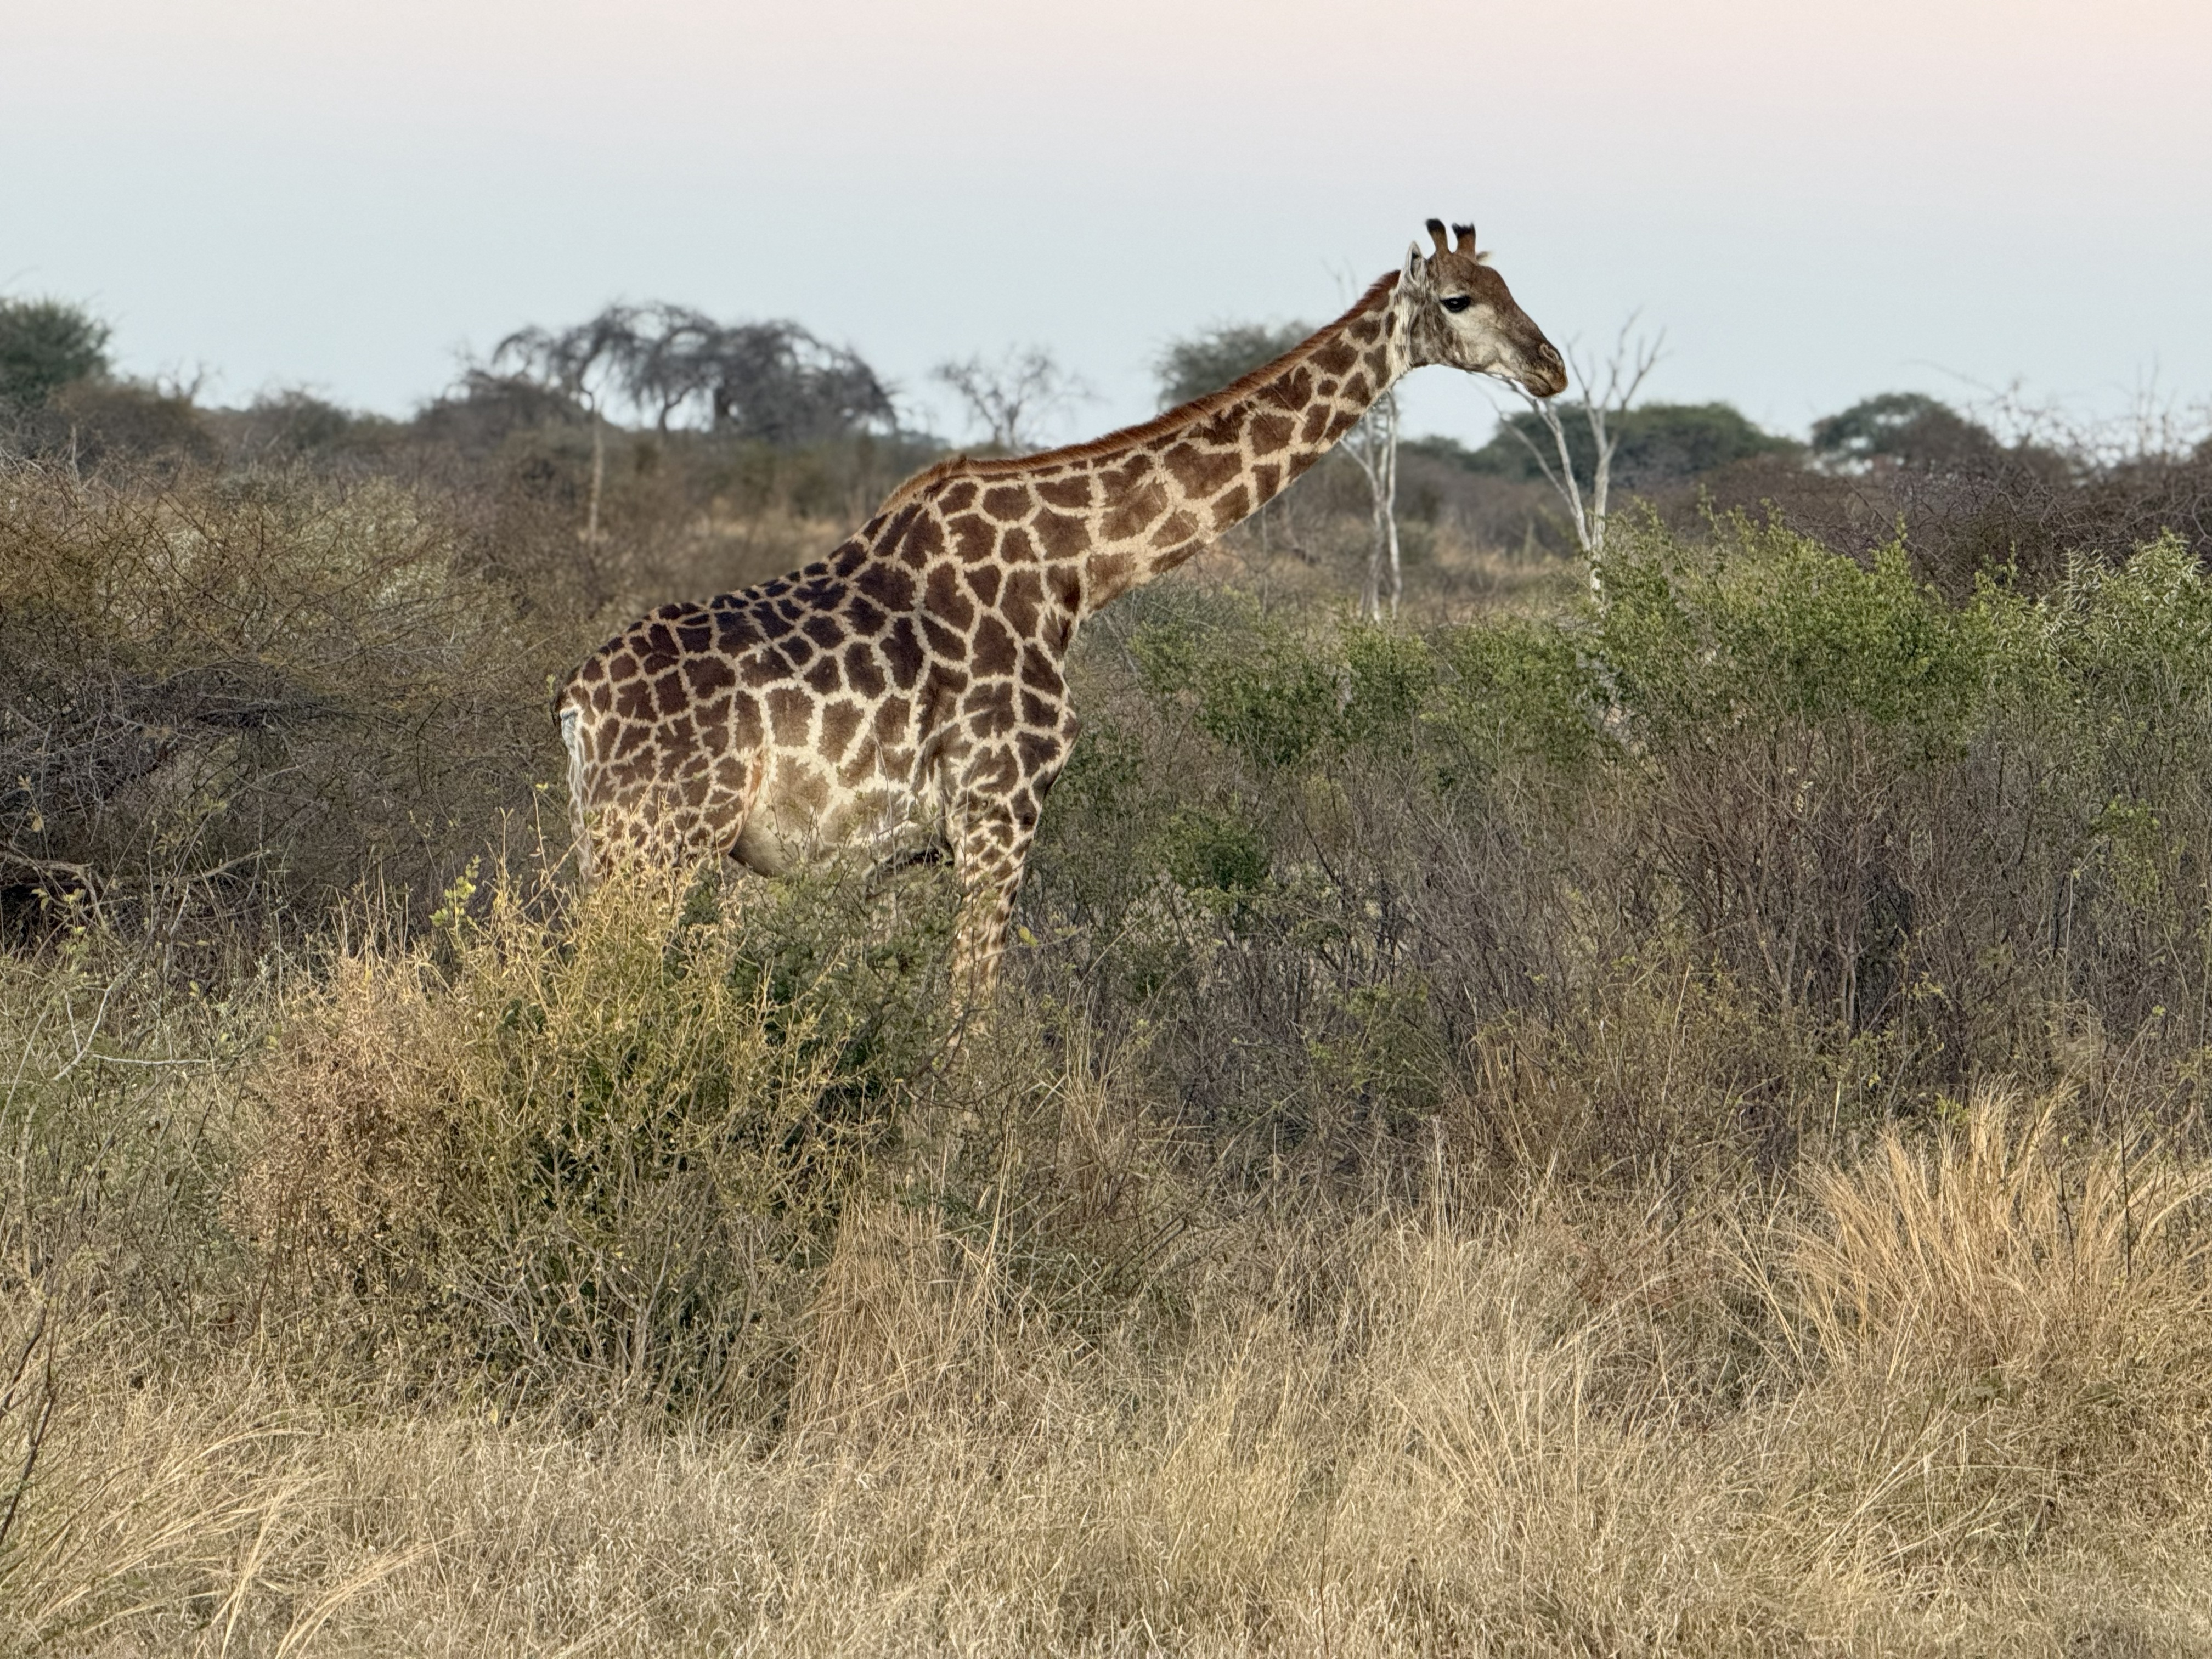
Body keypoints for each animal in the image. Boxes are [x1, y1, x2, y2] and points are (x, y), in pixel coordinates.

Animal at [557, 219, 1566, 994]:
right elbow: (971, 1015)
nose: (1550, 365)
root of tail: (576, 701)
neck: (1074, 571)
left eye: (1508, 284)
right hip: (659, 841)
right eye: (1459, 300)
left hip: (615, 842)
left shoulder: (908, 851)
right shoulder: (1000, 809)